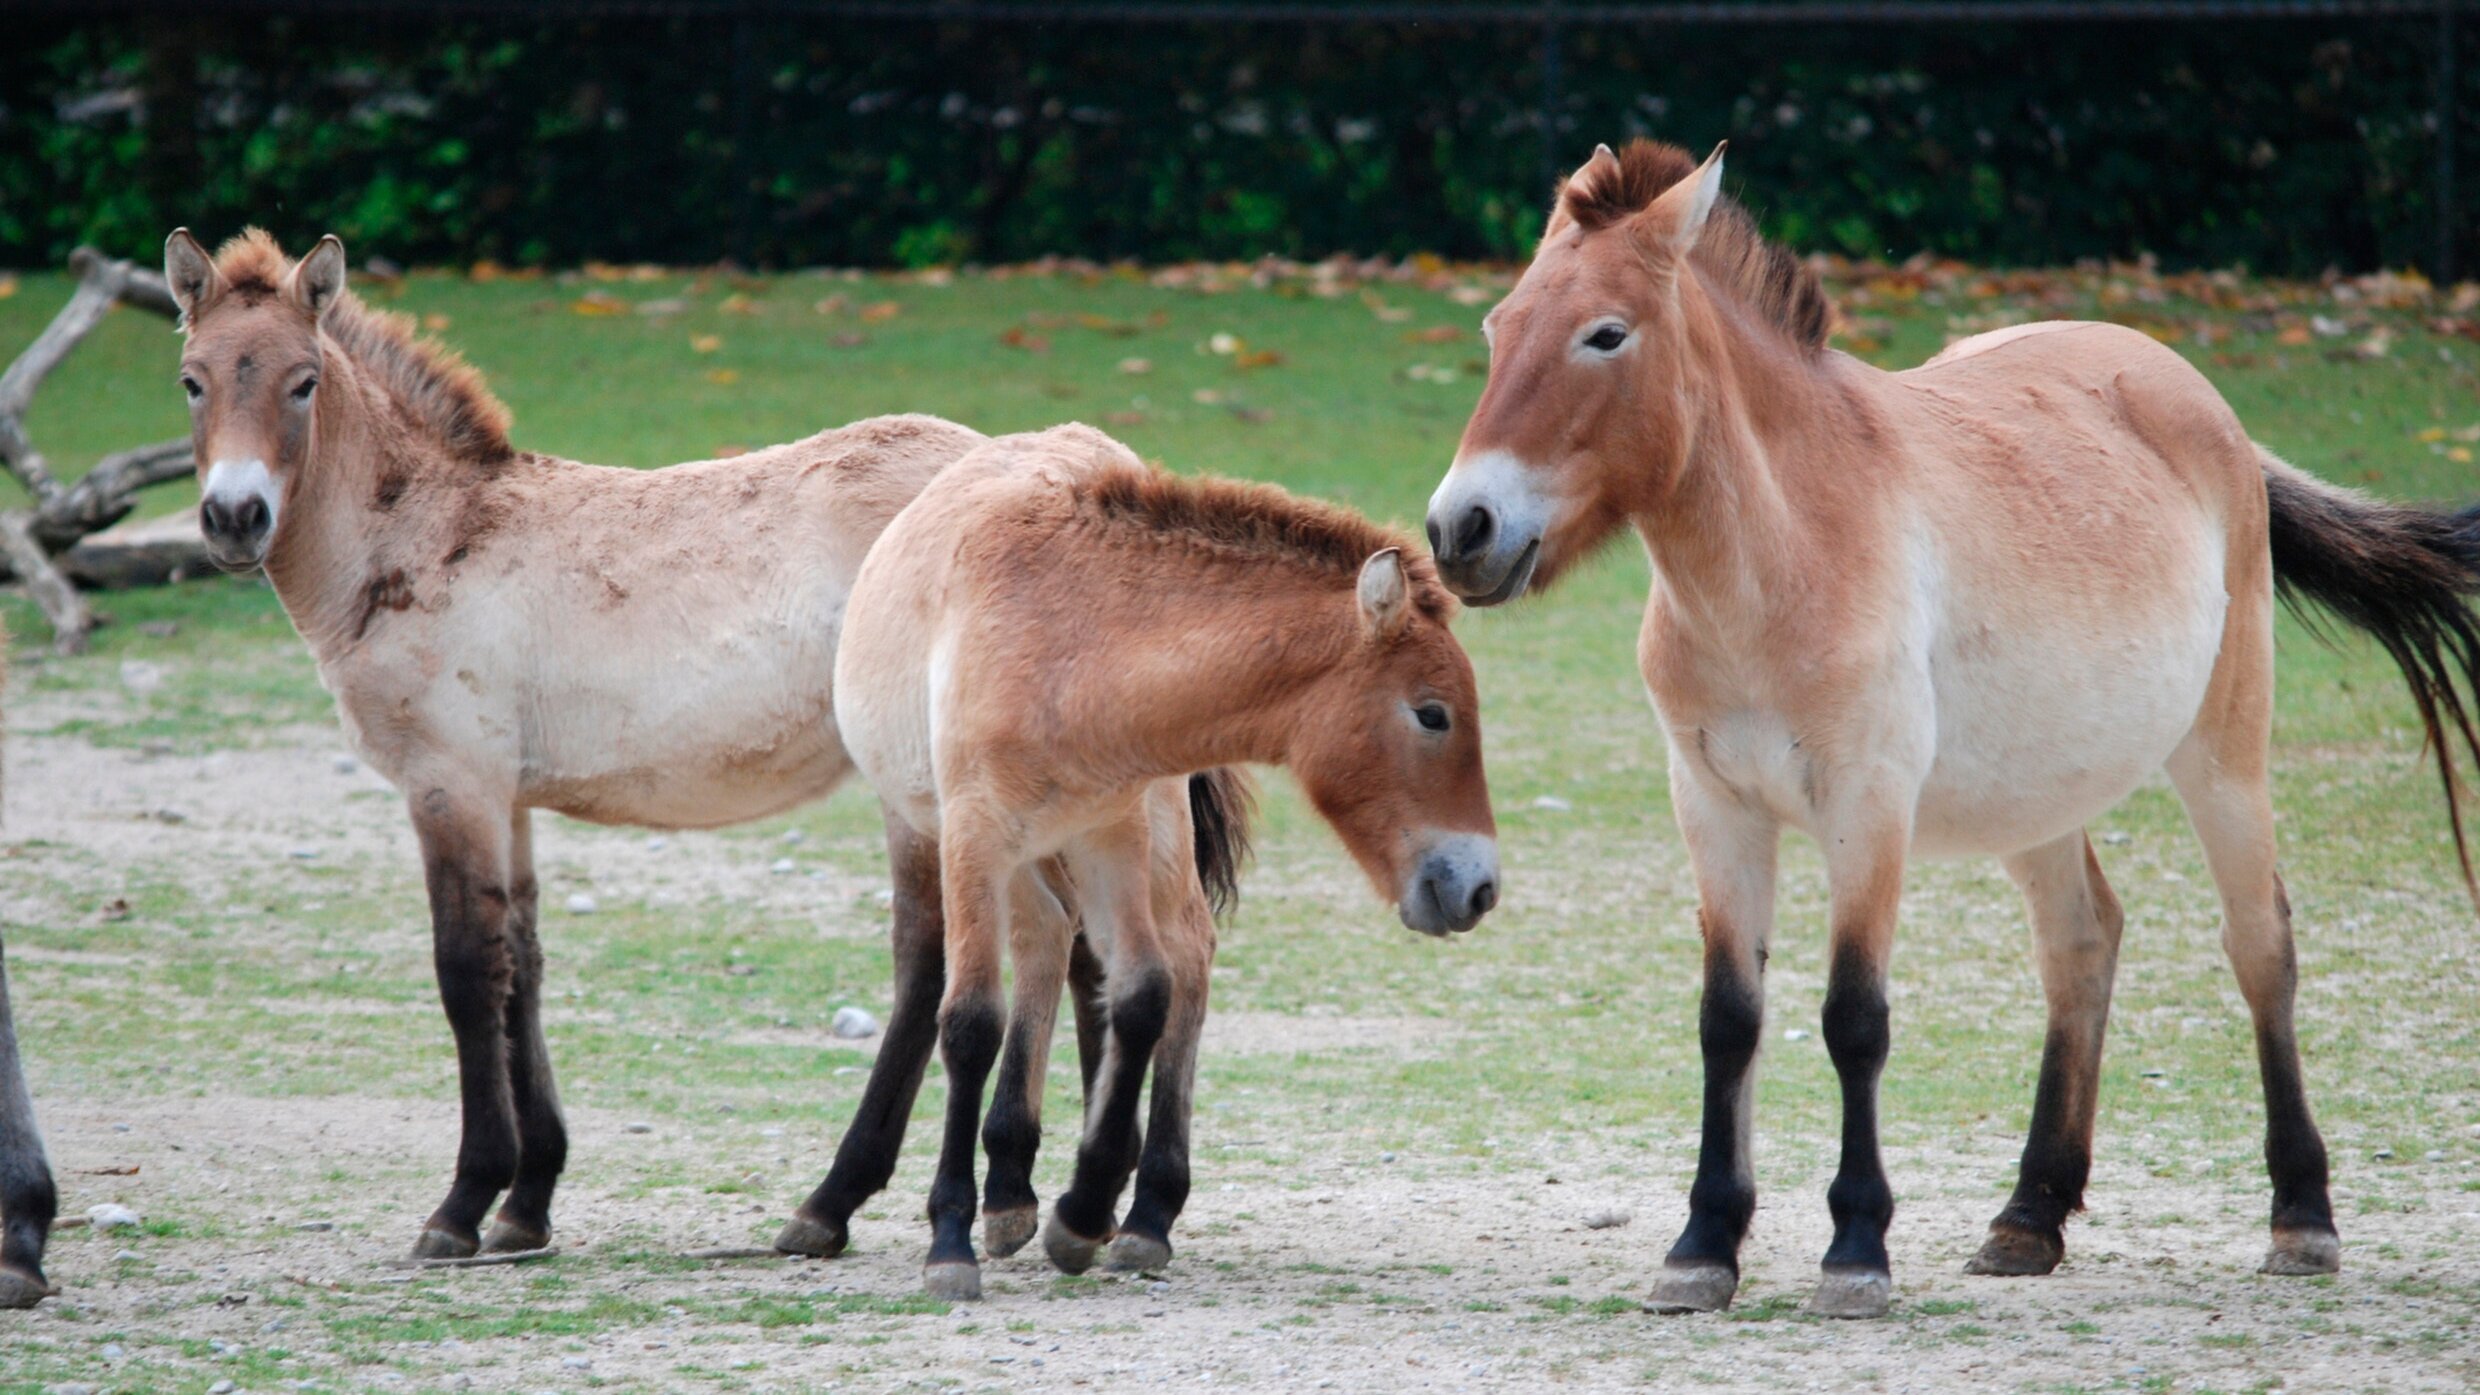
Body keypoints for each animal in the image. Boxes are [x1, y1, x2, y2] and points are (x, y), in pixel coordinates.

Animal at [157, 230, 996, 1260]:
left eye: (303, 382)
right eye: (192, 380)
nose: (234, 519)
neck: (424, 534)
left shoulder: (450, 785)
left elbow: (466, 972)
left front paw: (462, 1201)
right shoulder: (504, 797)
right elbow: (522, 964)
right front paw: (527, 1198)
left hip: (922, 785)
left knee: (928, 960)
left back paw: (832, 1201)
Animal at [823, 421, 1497, 1290]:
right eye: (1432, 713)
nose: (1478, 886)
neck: (1071, 649)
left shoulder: (1113, 832)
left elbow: (1144, 992)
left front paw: (1084, 1210)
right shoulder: (974, 835)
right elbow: (971, 1021)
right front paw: (951, 1240)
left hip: (1136, 830)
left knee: (1147, 949)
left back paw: (1106, 1204)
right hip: (994, 842)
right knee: (1043, 942)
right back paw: (1006, 1192)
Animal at [1428, 141, 2480, 1310]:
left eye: (1605, 334)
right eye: (1498, 327)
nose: (1460, 528)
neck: (1780, 559)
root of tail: (2198, 402)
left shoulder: (1866, 807)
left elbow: (1853, 1018)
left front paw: (1854, 1250)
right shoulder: (1713, 810)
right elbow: (1727, 1021)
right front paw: (1701, 1245)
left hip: (2221, 754)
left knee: (2259, 944)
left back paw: (2301, 1218)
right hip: (2036, 800)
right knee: (2080, 943)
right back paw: (2029, 1217)